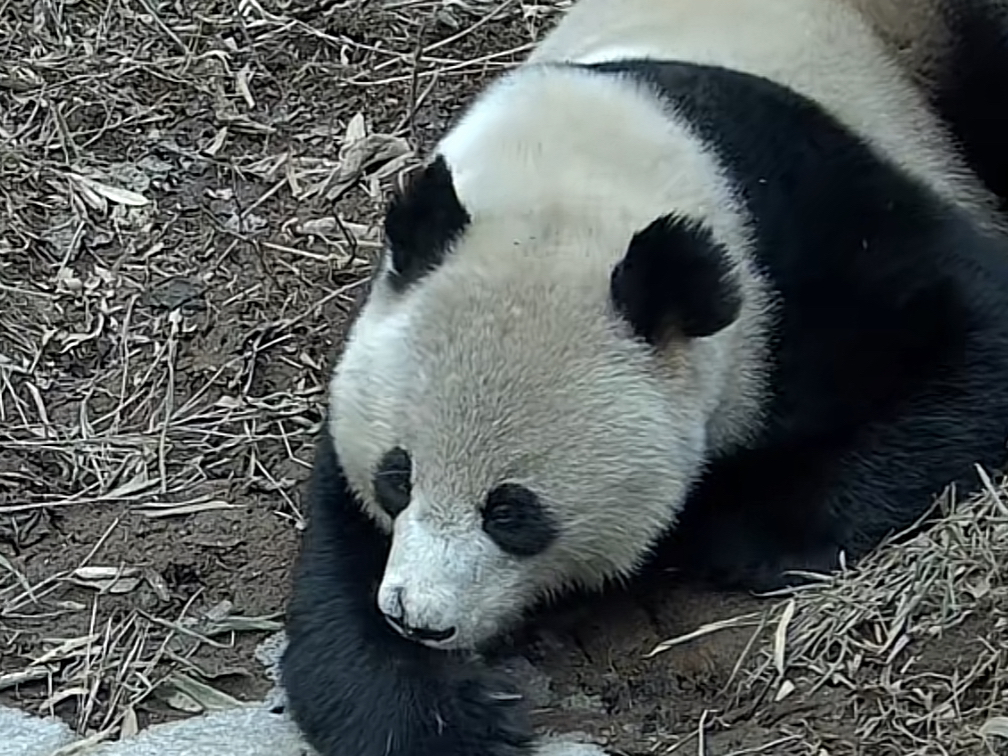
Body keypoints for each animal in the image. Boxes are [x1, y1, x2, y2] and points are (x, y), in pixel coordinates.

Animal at [278, 1, 1008, 756]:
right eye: (397, 479)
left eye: (512, 513)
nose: (417, 618)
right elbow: (340, 543)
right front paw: (444, 716)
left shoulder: (813, 237)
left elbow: (975, 335)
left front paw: (744, 531)